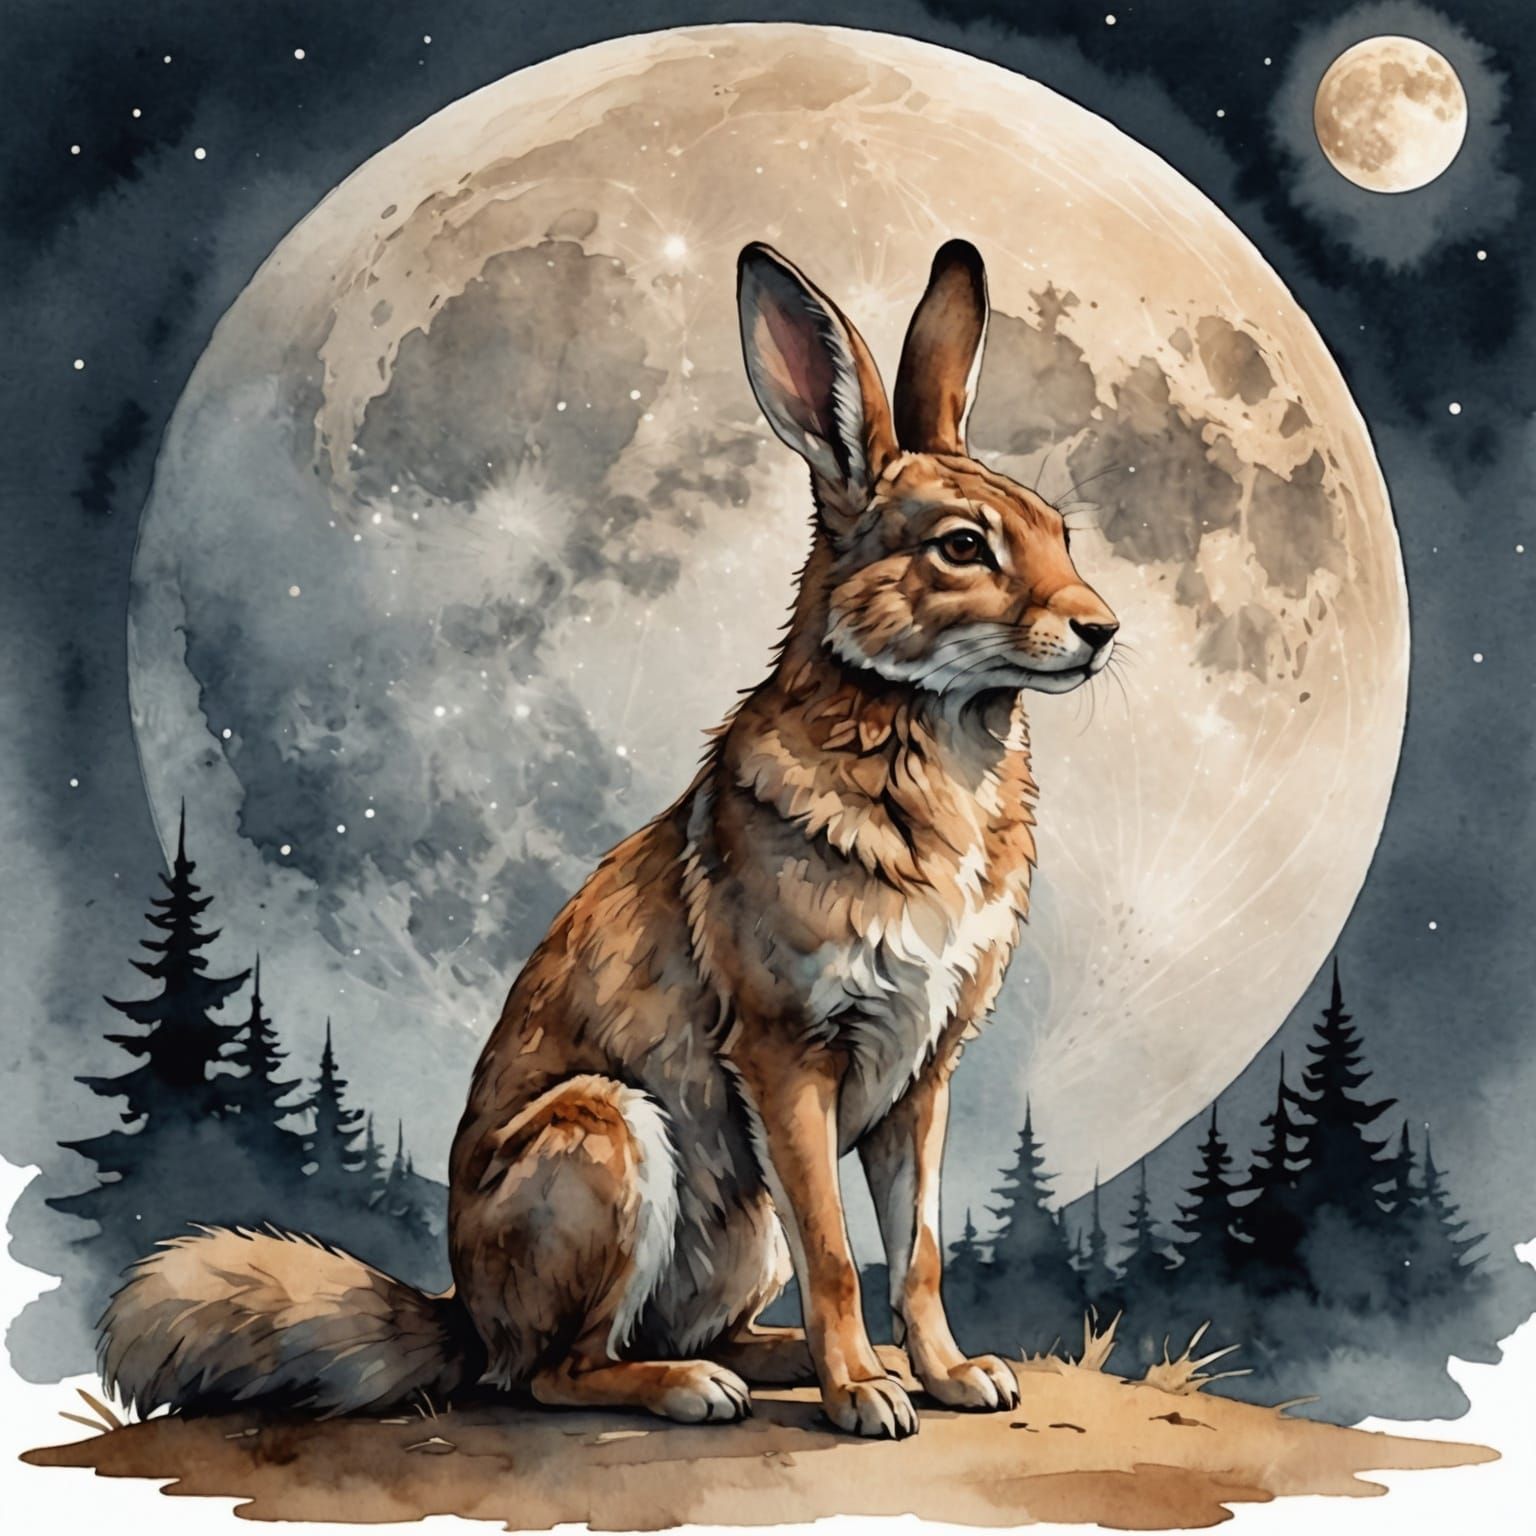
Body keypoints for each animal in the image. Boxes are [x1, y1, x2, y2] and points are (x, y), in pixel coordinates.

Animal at [99, 239, 1119, 1441]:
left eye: (1058, 531)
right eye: (963, 546)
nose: (1103, 629)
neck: (918, 739)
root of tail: (466, 1313)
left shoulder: (922, 1077)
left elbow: (915, 1254)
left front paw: (956, 1378)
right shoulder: (787, 1057)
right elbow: (839, 1252)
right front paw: (868, 1398)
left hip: (735, 1227)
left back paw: (770, 1364)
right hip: (609, 1137)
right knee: (553, 1371)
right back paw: (699, 1389)